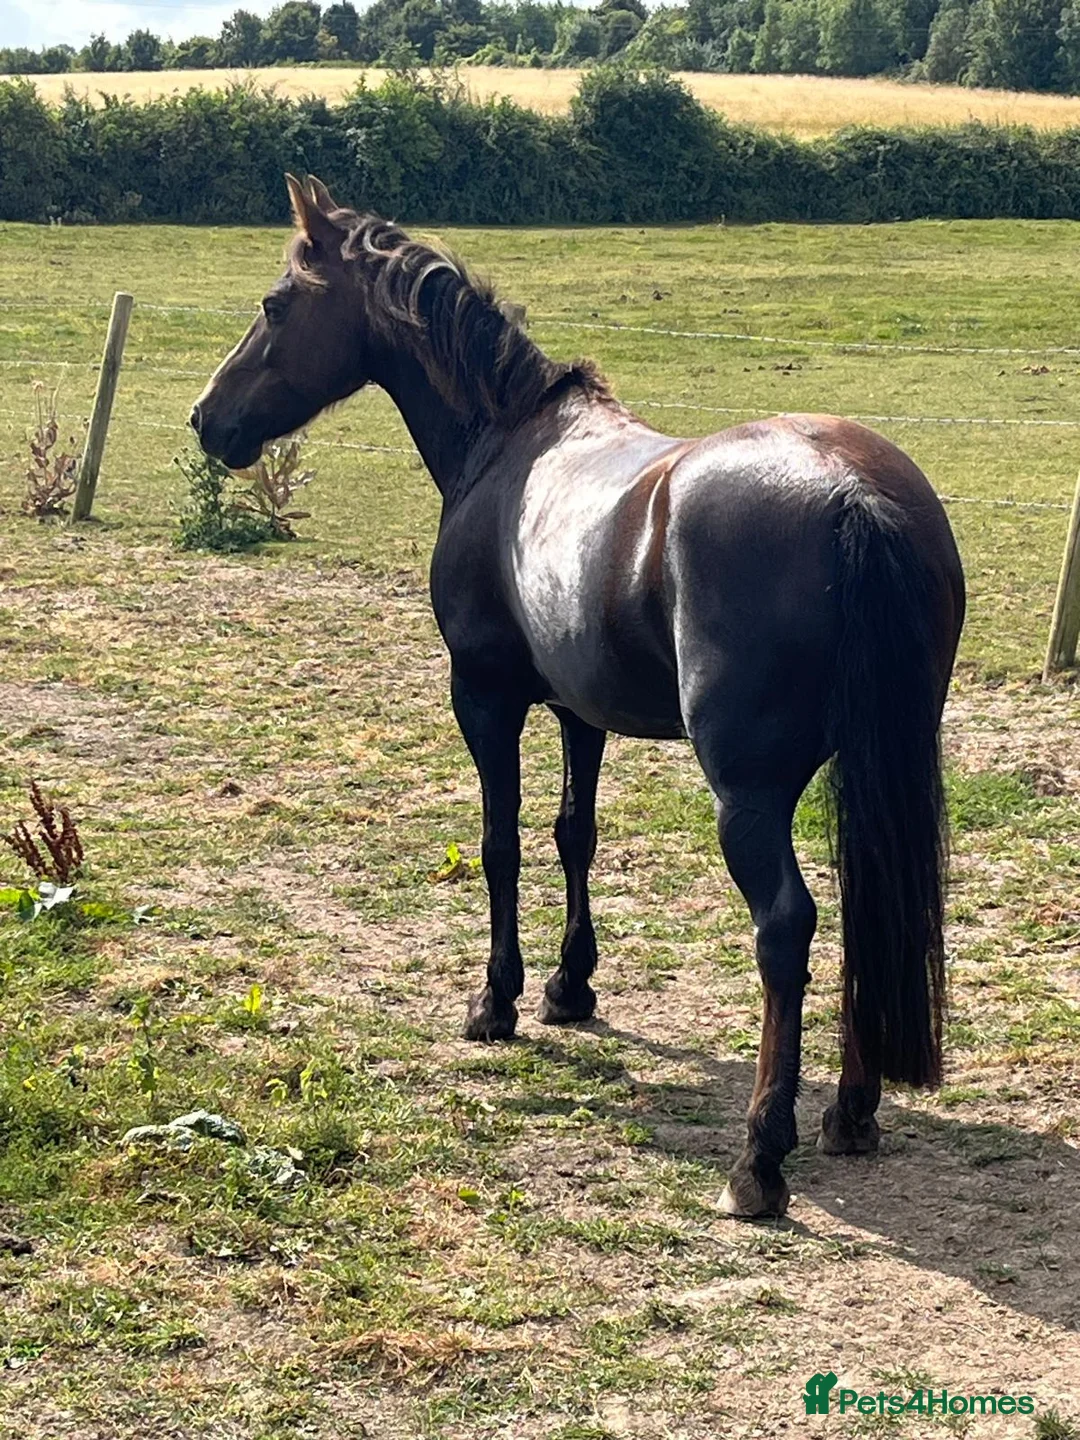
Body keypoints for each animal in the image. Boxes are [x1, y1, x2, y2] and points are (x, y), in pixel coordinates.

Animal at [191, 175, 965, 1218]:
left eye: (276, 306)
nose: (207, 420)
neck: (508, 442)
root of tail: (852, 492)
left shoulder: (483, 698)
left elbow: (500, 843)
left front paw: (498, 999)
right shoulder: (575, 712)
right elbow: (573, 836)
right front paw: (572, 988)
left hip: (749, 796)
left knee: (786, 928)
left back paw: (760, 1158)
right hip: (872, 766)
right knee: (864, 907)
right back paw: (851, 1112)